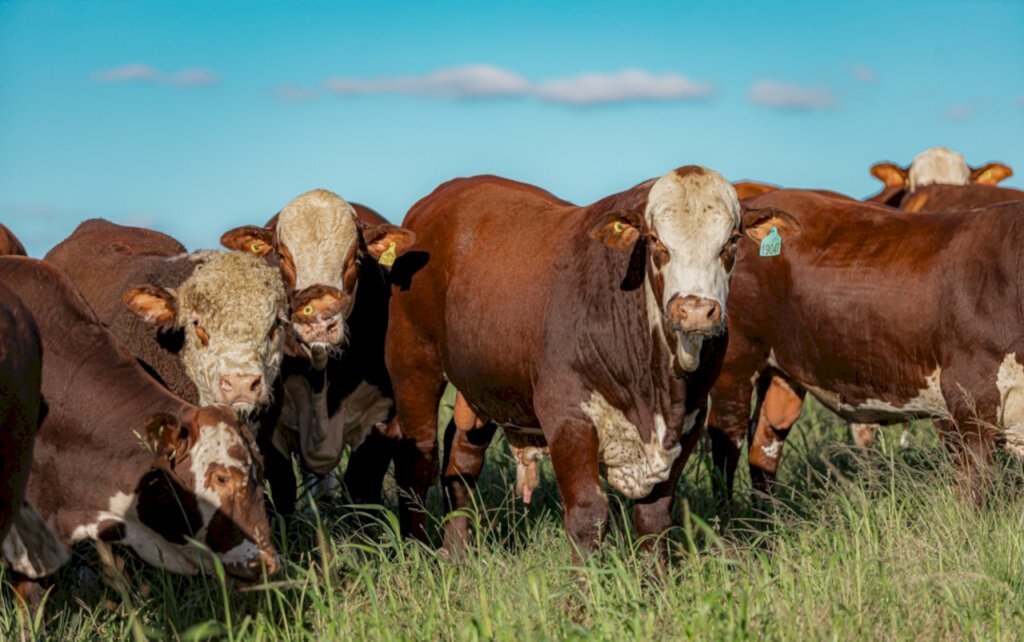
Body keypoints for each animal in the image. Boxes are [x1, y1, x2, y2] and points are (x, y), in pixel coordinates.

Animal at [222, 190, 413, 511]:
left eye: (356, 258)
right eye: (282, 257)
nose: (319, 321)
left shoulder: (382, 421)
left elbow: (362, 491)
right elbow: (283, 492)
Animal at [387, 167, 794, 557]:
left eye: (732, 240)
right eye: (656, 240)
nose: (695, 310)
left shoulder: (690, 419)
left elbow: (655, 517)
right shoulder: (567, 414)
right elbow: (588, 516)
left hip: (482, 386)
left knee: (462, 459)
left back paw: (455, 551)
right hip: (413, 365)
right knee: (419, 457)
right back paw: (416, 550)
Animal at [708, 190, 1024, 507]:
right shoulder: (969, 393)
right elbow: (976, 483)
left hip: (781, 372)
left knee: (766, 440)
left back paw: (767, 516)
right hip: (734, 363)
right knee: (727, 441)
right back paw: (730, 518)